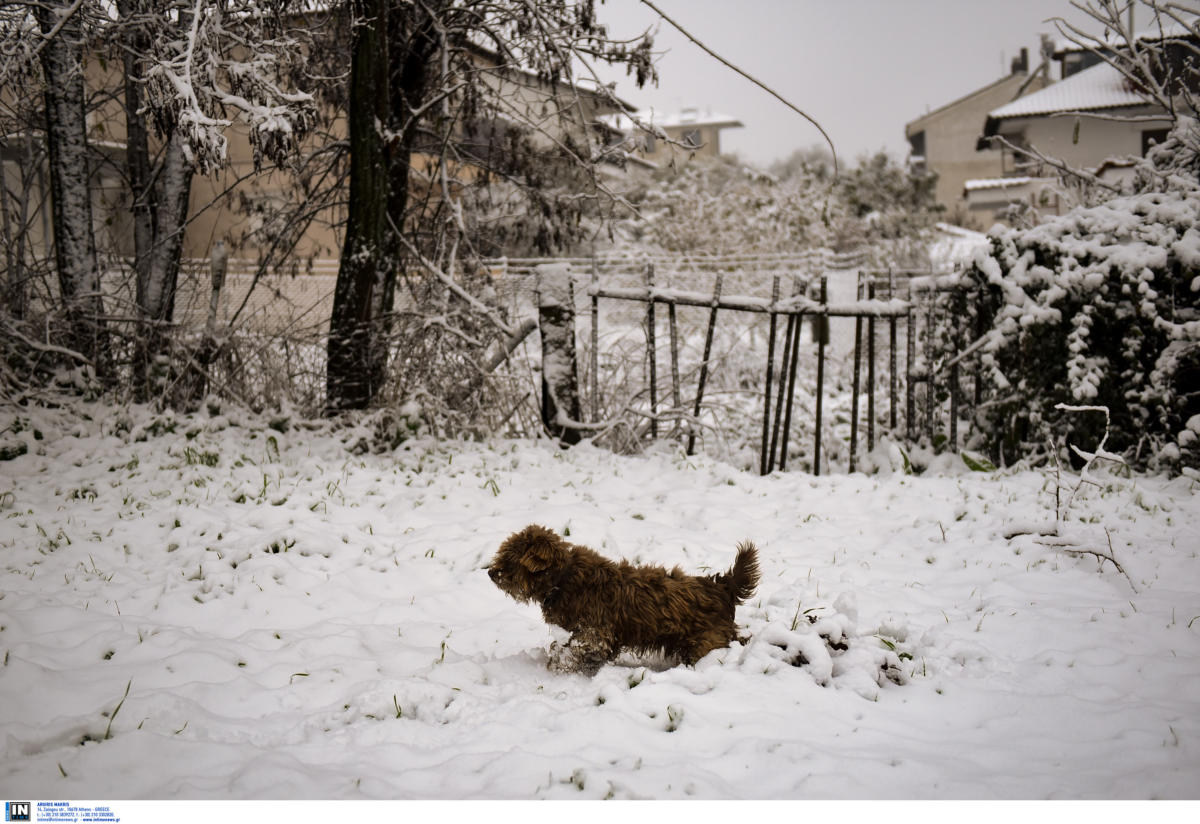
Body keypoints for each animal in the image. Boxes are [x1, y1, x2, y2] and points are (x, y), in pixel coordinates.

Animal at [487, 525, 758, 671]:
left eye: (510, 559)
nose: (490, 572)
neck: (562, 580)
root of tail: (723, 586)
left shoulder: (596, 633)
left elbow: (574, 648)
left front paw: (559, 665)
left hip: (706, 642)